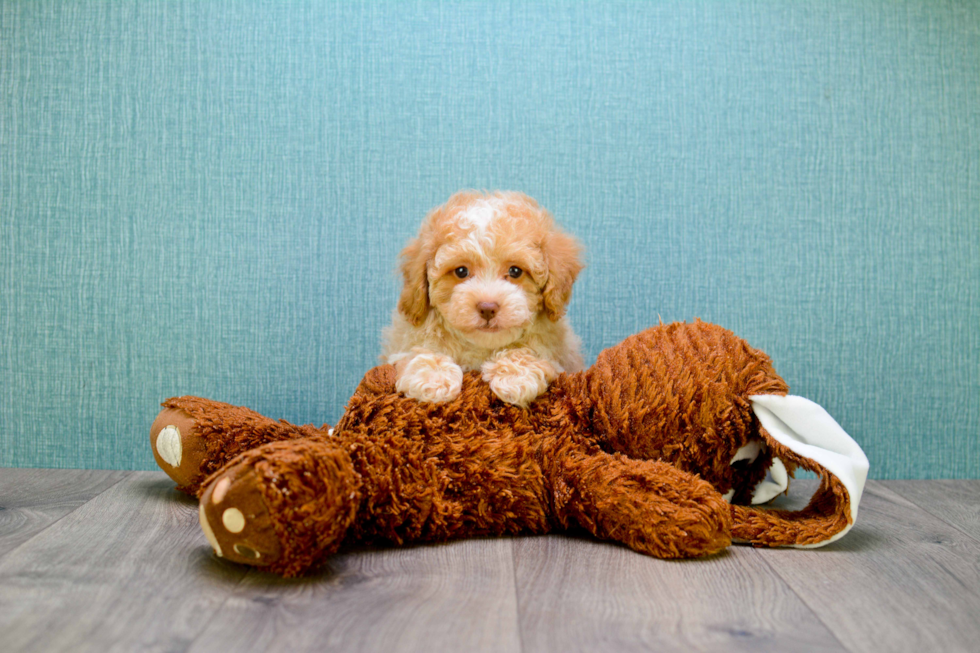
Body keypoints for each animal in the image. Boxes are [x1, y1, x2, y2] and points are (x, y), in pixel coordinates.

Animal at [380, 187, 580, 408]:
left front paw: (516, 375)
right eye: (461, 271)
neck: (481, 346)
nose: (487, 307)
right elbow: (420, 351)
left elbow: (527, 350)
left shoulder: (557, 354)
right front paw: (433, 377)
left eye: (515, 271)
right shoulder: (404, 343)